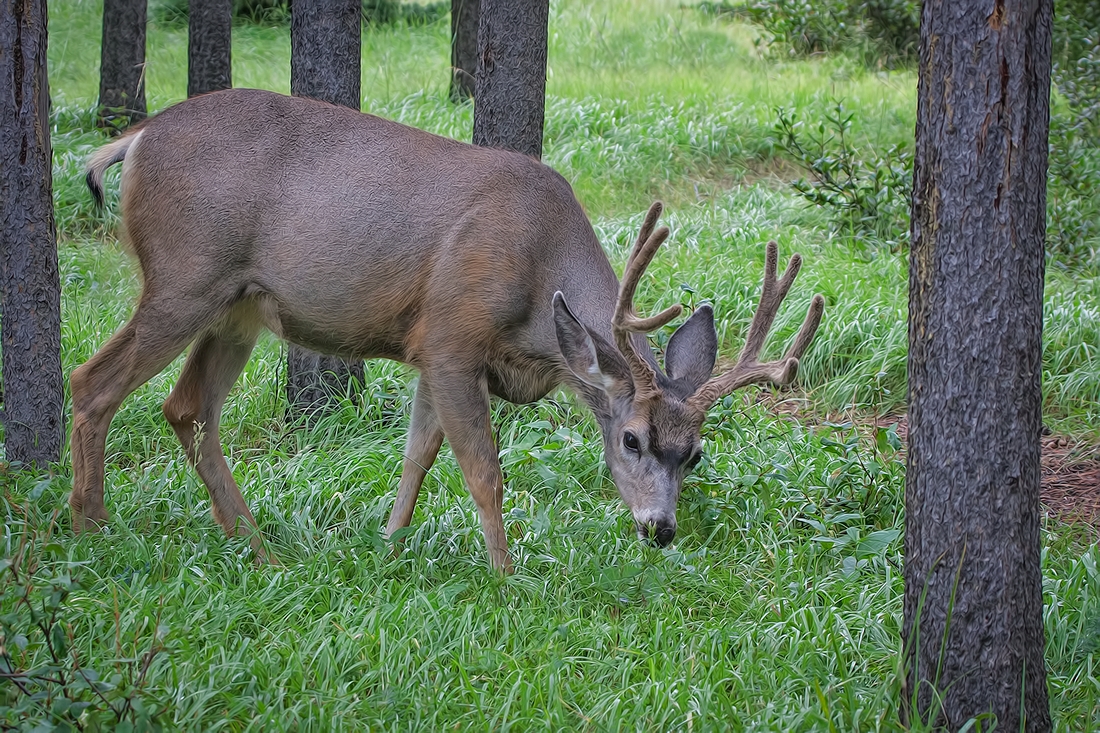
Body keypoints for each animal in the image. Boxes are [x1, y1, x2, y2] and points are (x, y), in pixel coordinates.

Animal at [70, 88, 827, 567]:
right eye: (632, 438)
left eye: (693, 453)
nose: (662, 529)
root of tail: (134, 140)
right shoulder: (452, 334)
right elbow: (483, 468)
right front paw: (505, 574)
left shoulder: (429, 347)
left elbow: (418, 453)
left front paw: (388, 543)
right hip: (184, 274)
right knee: (92, 382)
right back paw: (90, 529)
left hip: (239, 307)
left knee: (186, 406)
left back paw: (259, 550)